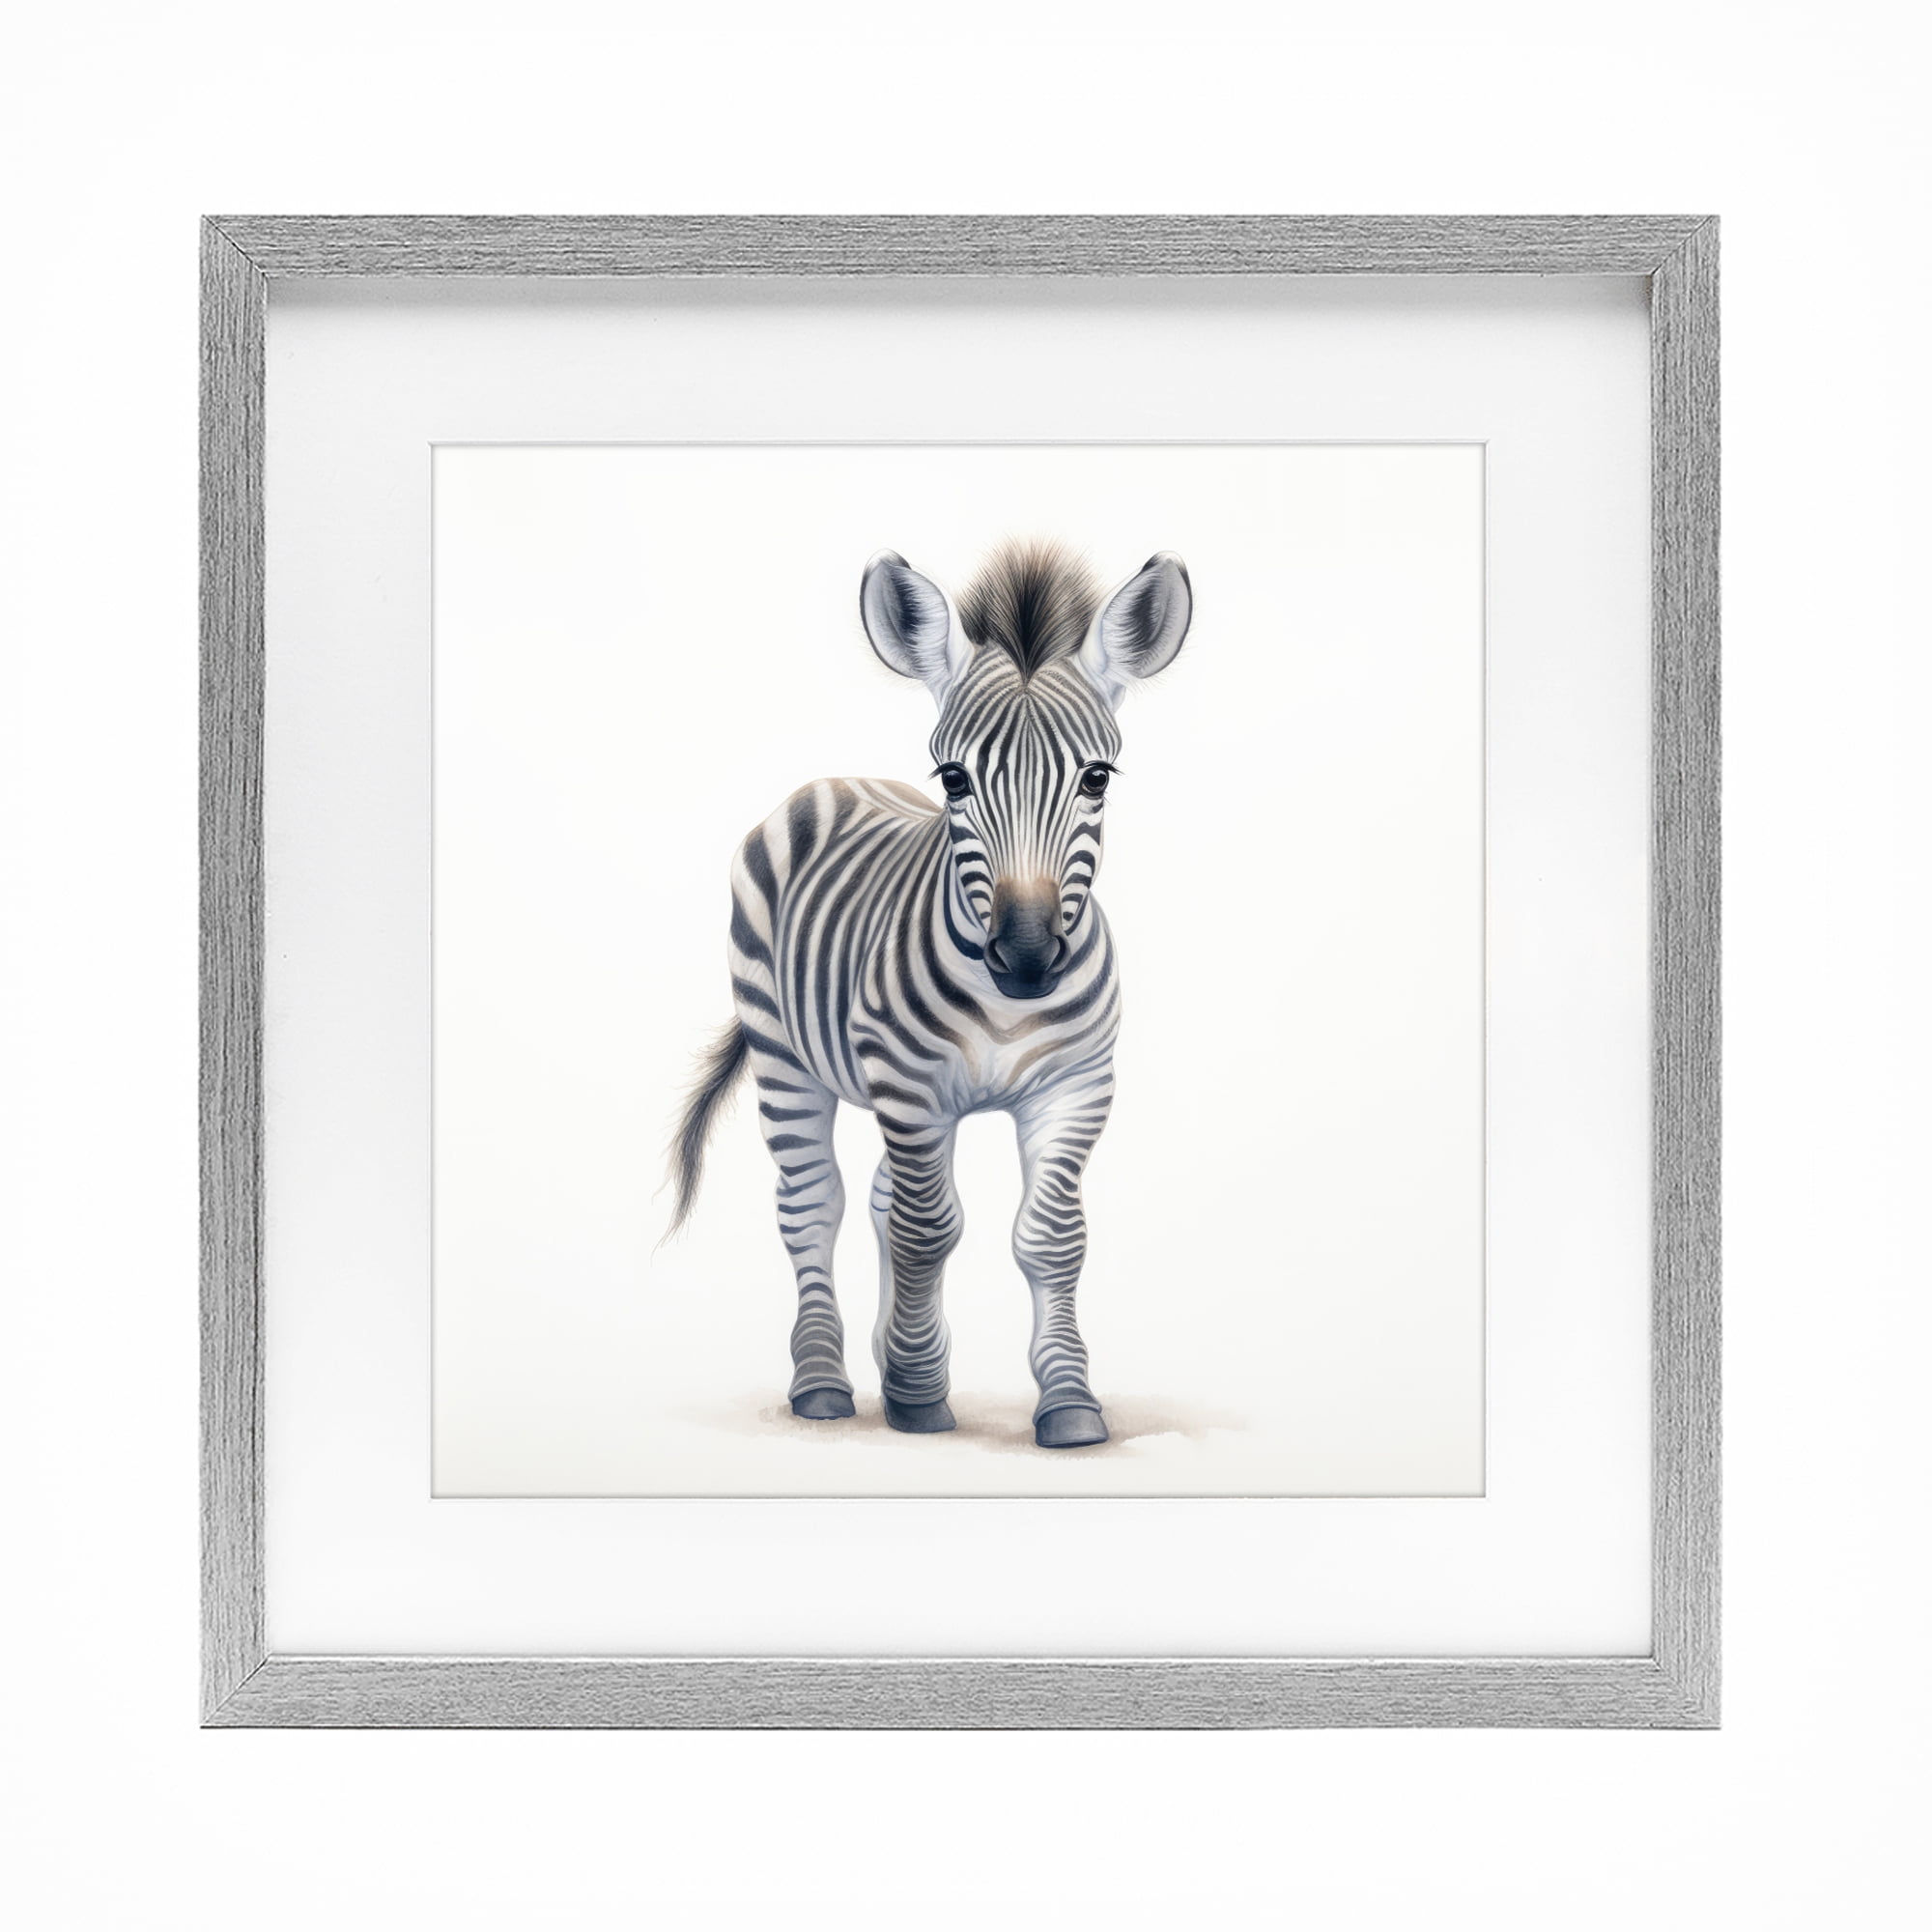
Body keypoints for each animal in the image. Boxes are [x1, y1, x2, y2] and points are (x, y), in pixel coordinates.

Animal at [668, 539, 1192, 1448]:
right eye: (953, 779)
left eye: (1097, 778)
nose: (1027, 959)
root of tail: (833, 781)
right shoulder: (911, 1085)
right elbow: (928, 1229)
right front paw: (918, 1397)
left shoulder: (1077, 1086)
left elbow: (1050, 1237)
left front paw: (1067, 1402)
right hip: (783, 1055)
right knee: (813, 1205)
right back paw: (823, 1382)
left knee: (881, 1198)